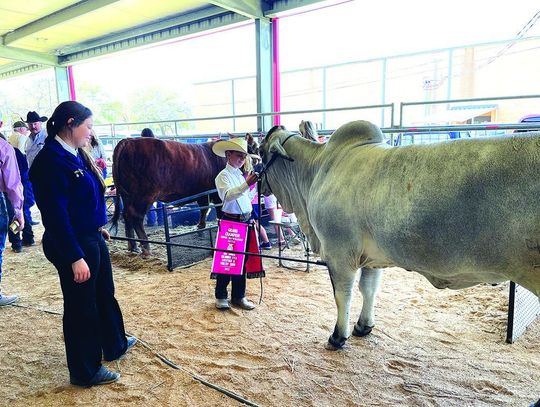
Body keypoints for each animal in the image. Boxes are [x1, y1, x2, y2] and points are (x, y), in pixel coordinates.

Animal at [258, 121, 540, 350]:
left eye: (260, 152)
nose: (257, 181)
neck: (316, 171)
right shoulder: (371, 258)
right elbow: (368, 289)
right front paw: (363, 326)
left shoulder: (339, 254)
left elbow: (343, 295)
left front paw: (338, 337)